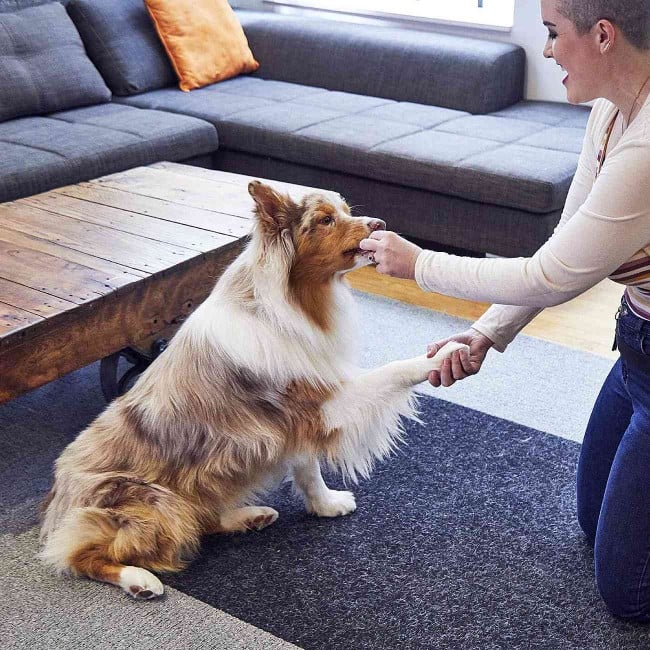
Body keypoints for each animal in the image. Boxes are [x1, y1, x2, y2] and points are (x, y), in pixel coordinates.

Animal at [40, 180, 466, 596]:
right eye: (325, 220)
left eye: (347, 210)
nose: (379, 224)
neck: (295, 301)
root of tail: (58, 500)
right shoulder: (320, 402)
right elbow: (391, 371)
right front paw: (443, 355)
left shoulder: (299, 418)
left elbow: (308, 467)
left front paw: (326, 505)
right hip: (153, 500)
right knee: (82, 553)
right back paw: (139, 580)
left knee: (200, 521)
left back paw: (250, 517)